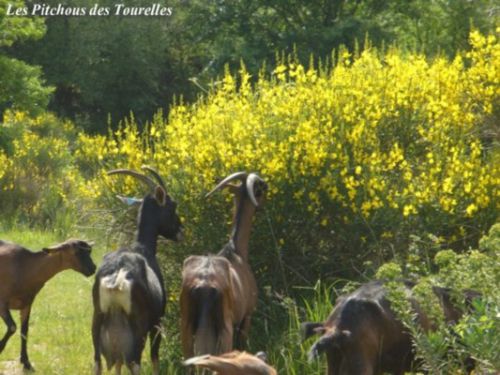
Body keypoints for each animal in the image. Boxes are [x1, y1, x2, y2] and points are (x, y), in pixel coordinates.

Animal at [0, 238, 95, 370]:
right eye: (75, 252)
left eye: (89, 252)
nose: (93, 268)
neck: (25, 267)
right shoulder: (2, 302)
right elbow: (13, 327)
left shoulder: (27, 303)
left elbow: (25, 331)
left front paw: (26, 362)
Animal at [92, 167, 182, 375]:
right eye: (172, 206)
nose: (180, 230)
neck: (142, 248)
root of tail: (117, 277)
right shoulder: (157, 322)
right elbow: (155, 358)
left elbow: (117, 363)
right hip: (139, 328)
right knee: (135, 363)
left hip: (98, 320)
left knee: (99, 362)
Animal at [180, 172, 266, 362]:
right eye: (260, 190)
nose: (267, 185)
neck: (235, 250)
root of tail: (203, 284)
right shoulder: (245, 317)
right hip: (225, 328)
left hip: (187, 326)